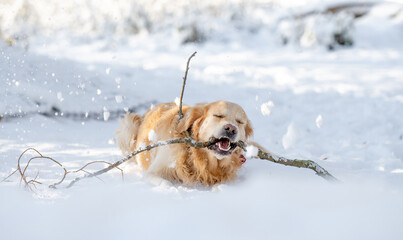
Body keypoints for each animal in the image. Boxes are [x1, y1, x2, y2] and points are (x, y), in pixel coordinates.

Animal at [115, 101, 252, 186]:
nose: (231, 129)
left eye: (239, 122)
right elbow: (166, 183)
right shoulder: (154, 171)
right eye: (218, 116)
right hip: (128, 126)